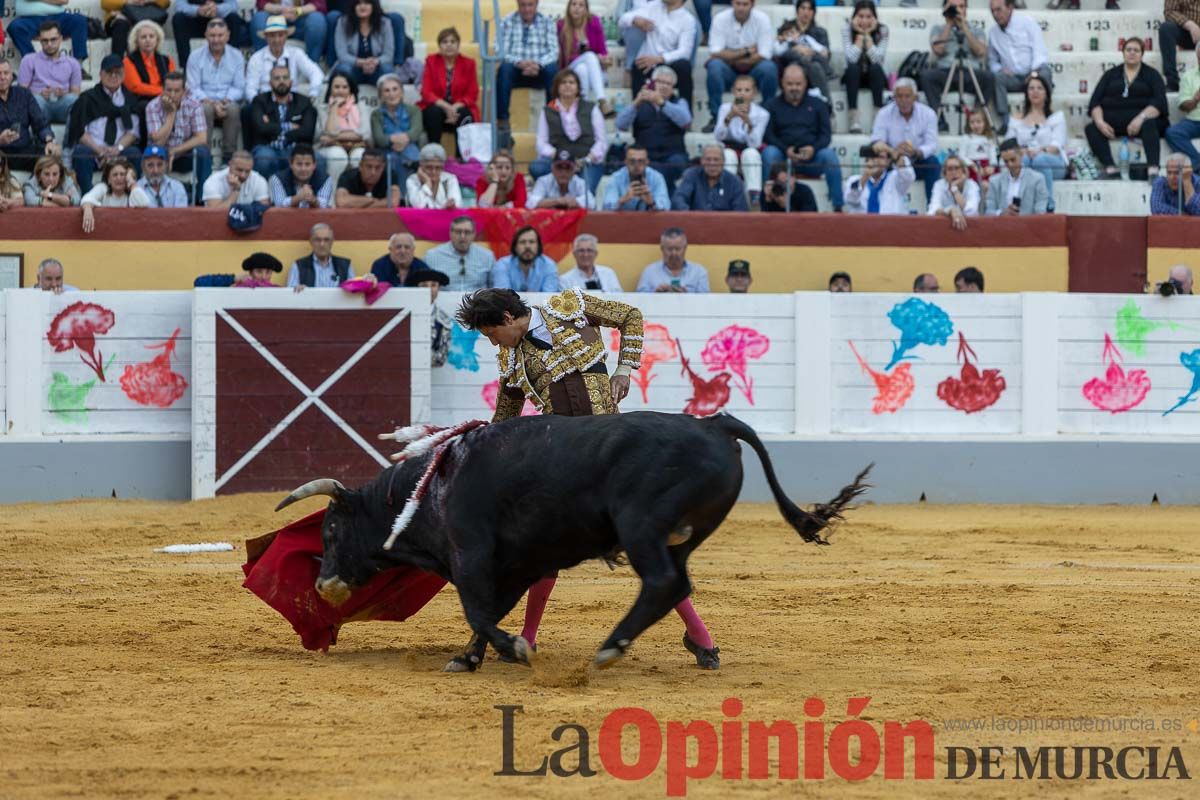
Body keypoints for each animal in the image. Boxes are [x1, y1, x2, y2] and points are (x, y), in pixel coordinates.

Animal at [274, 412, 868, 671]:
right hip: (678, 536)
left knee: (661, 582)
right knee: (678, 585)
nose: (323, 586)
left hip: (641, 527)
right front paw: (471, 658)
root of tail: (714, 423)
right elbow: (490, 611)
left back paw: (612, 646)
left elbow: (477, 609)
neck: (431, 486)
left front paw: (511, 649)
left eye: (330, 530)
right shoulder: (514, 564)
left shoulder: (471, 553)